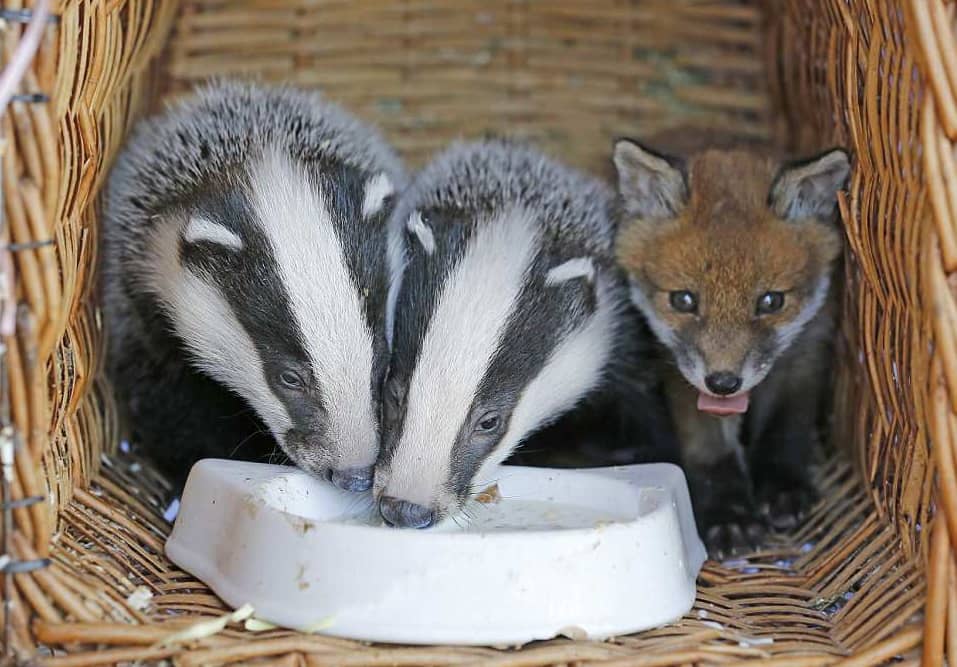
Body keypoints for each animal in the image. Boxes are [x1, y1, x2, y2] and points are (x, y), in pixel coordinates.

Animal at [611, 136, 850, 558]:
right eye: (683, 300)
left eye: (770, 302)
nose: (723, 383)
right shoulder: (680, 375)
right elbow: (710, 452)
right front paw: (728, 517)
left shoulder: (806, 354)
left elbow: (785, 429)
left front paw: (783, 487)